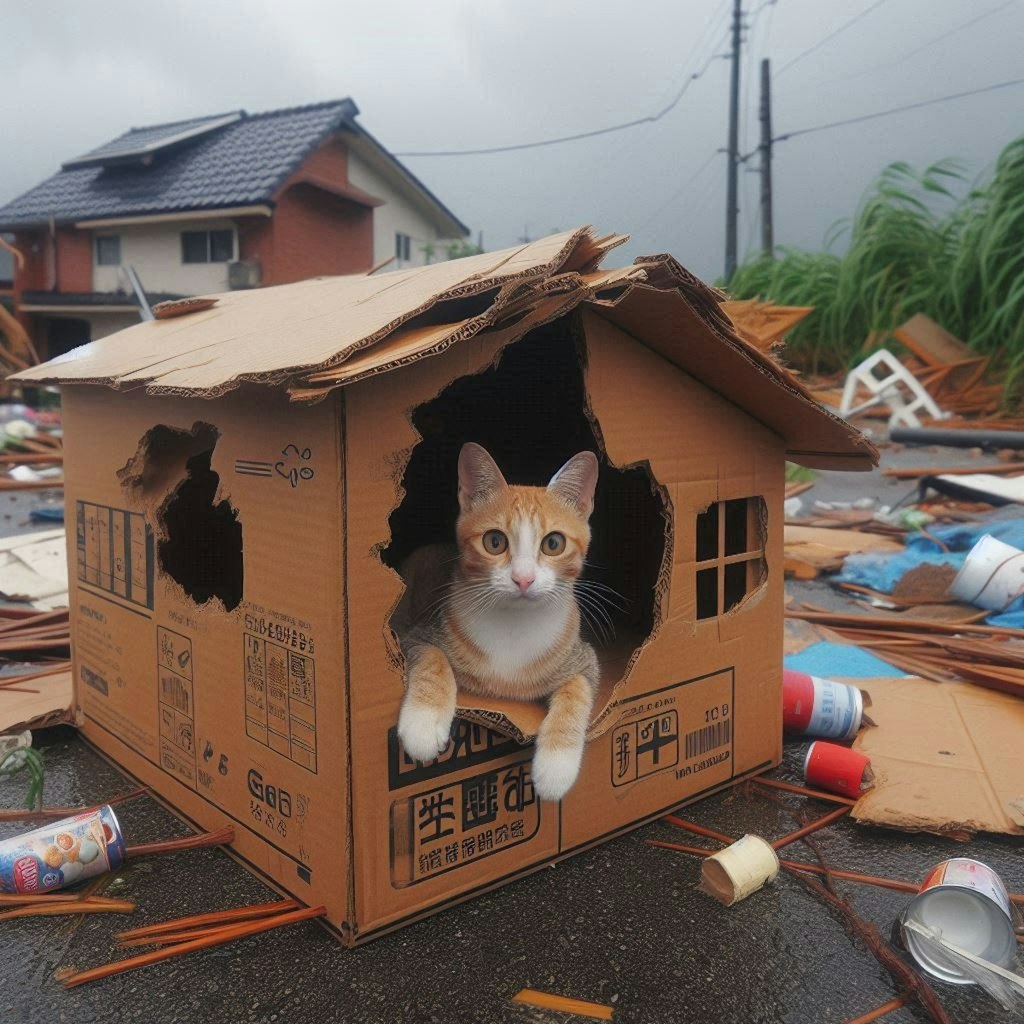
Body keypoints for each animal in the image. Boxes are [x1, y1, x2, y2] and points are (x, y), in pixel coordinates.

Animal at [391, 444, 598, 802]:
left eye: (553, 543)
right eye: (495, 541)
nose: (523, 579)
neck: (514, 622)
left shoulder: (584, 659)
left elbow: (578, 691)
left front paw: (556, 767)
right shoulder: (416, 634)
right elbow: (432, 657)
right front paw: (423, 723)